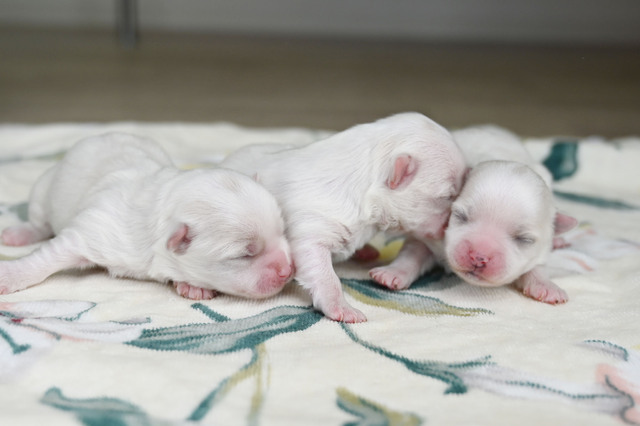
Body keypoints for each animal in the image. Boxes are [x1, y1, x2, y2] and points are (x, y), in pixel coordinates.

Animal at [0, 133, 294, 300]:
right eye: (244, 254)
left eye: (283, 232)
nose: (289, 270)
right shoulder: (93, 230)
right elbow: (47, 258)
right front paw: (9, 276)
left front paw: (191, 286)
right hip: (43, 188)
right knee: (38, 221)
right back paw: (18, 234)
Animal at [370, 126, 577, 304]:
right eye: (460, 216)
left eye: (524, 239)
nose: (478, 256)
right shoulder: (428, 234)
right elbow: (412, 252)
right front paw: (392, 273)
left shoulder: (539, 251)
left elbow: (537, 267)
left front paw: (546, 286)